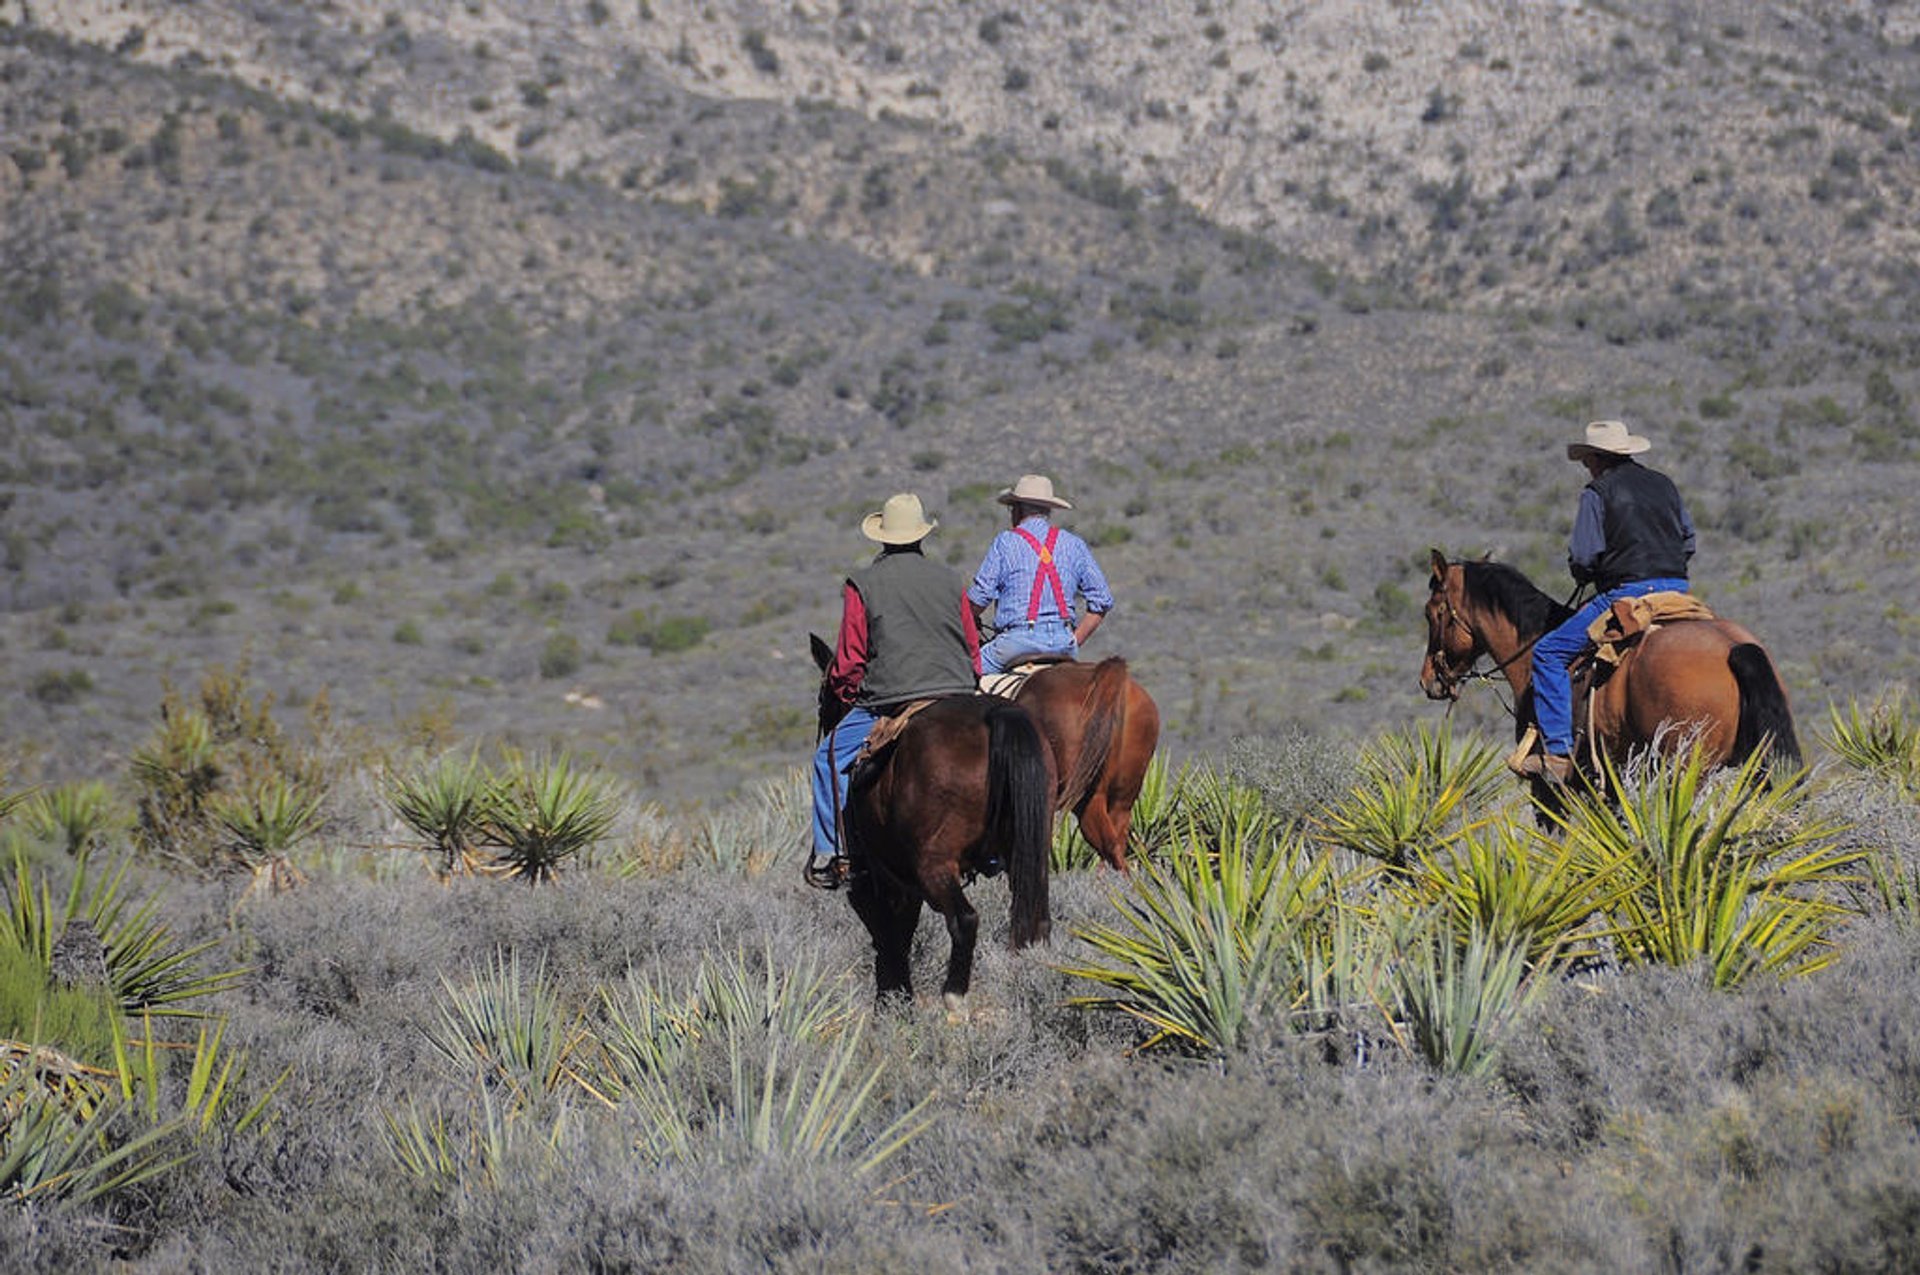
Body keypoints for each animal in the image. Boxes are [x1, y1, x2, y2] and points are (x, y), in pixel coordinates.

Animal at [806, 637, 1059, 1013]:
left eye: (823, 698)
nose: (826, 724)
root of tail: (997, 715)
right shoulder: (905, 883)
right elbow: (901, 934)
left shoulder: (874, 881)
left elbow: (887, 938)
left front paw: (892, 1004)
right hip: (1027, 851)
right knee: (1036, 916)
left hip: (935, 865)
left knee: (965, 920)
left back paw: (954, 998)